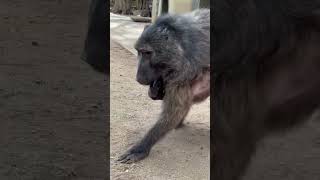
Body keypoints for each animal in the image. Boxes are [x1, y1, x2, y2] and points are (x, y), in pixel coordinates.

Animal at [117, 8, 210, 163]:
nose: (139, 79)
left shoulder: (184, 72)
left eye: (147, 53)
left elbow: (175, 111)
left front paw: (140, 148)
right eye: (139, 52)